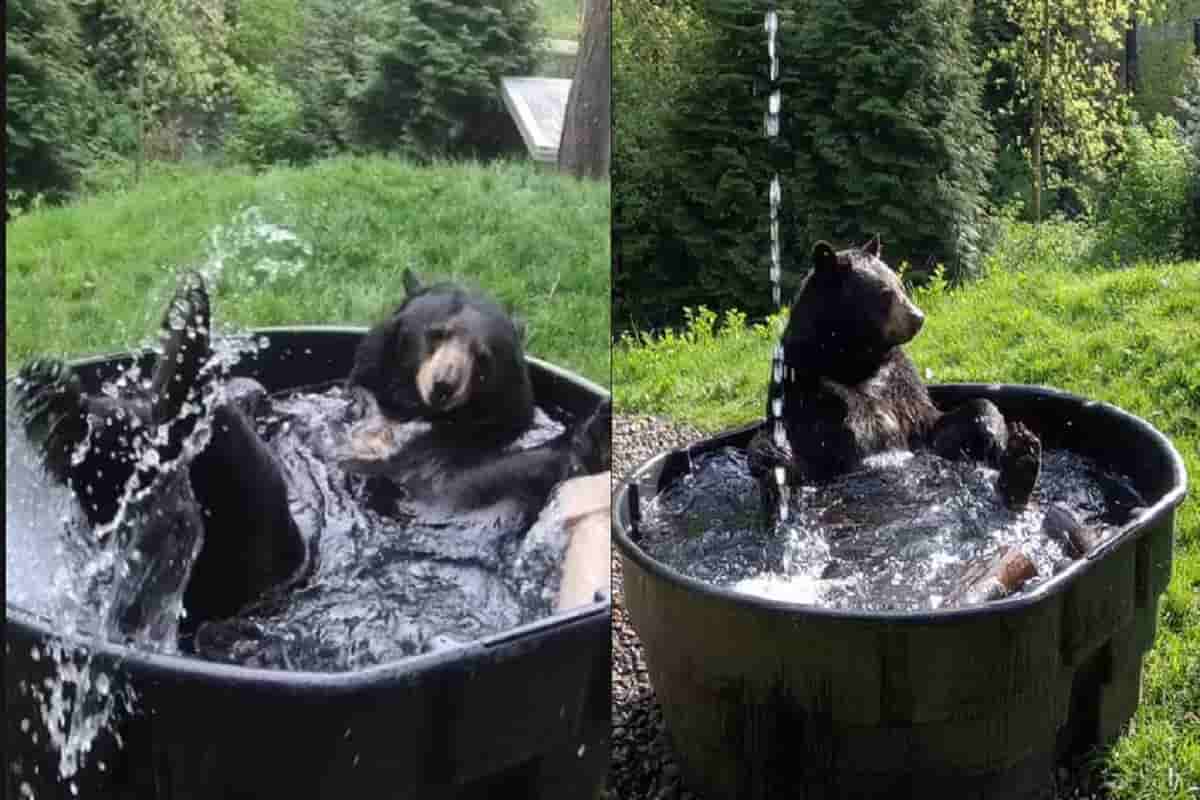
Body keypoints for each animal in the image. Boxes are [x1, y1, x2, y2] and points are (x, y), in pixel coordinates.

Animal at [748, 235, 1041, 515]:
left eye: (901, 284)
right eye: (884, 293)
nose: (918, 318)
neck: (852, 363)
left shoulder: (897, 380)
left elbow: (941, 423)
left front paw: (993, 430)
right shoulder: (806, 384)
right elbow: (815, 449)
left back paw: (1021, 462)